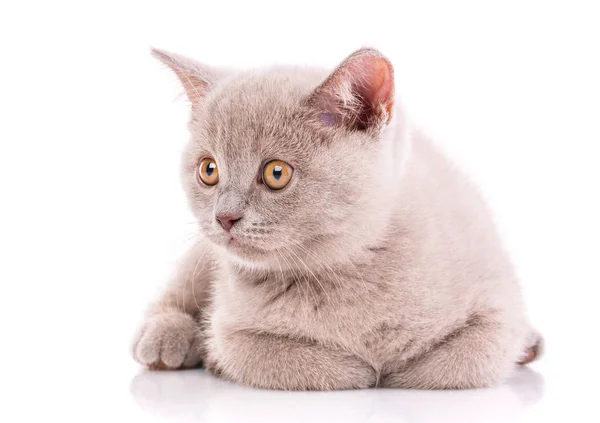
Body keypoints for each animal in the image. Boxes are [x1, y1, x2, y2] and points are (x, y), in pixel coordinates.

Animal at [132, 47, 544, 390]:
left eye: (276, 173)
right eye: (209, 170)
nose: (225, 217)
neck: (349, 271)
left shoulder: (497, 309)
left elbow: (459, 362)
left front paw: (391, 370)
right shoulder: (231, 328)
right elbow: (277, 357)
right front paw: (362, 369)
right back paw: (164, 339)